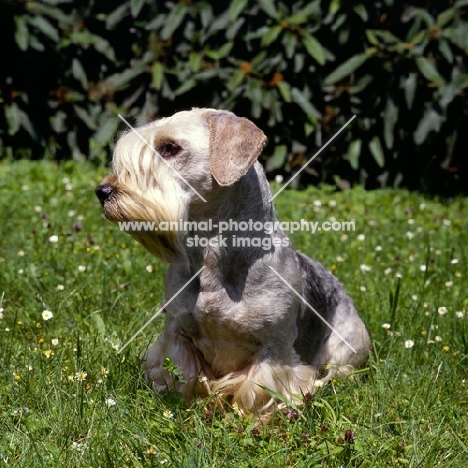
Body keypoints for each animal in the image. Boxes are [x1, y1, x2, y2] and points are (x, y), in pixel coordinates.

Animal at [97, 109, 372, 416]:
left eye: (170, 148)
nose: (103, 191)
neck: (213, 258)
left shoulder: (274, 349)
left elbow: (255, 392)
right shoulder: (177, 334)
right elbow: (184, 377)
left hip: (345, 349)